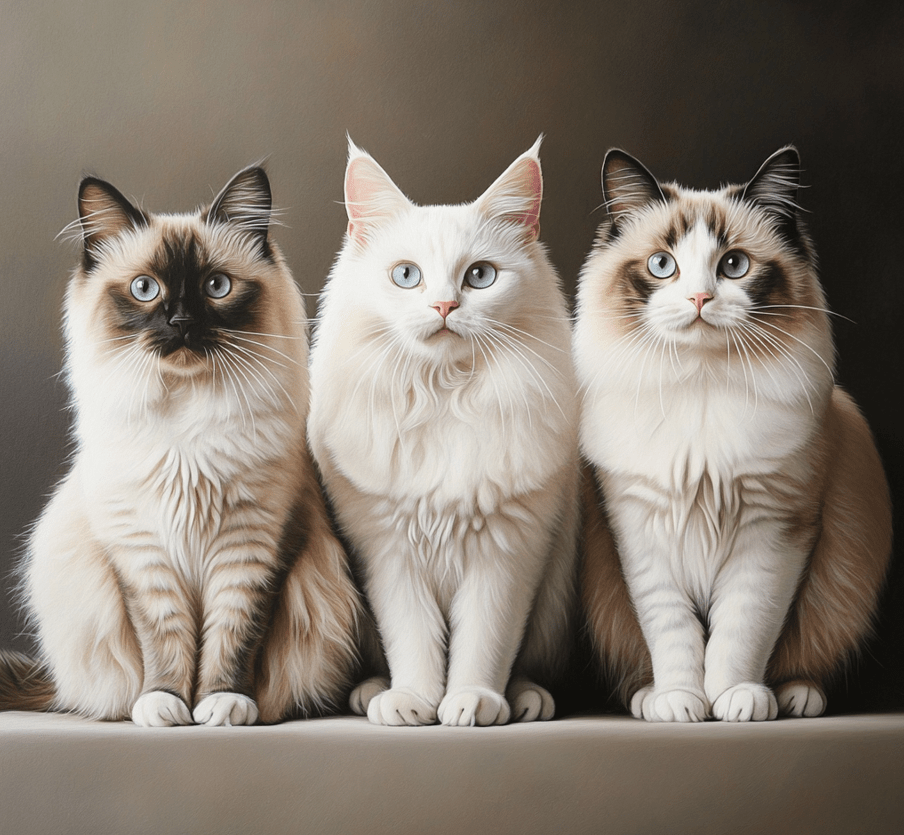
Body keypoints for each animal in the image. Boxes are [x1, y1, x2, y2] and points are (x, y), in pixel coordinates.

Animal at [3, 165, 364, 724]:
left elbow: (231, 638)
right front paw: (166, 705)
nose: (180, 323)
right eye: (145, 289)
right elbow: (164, 641)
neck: (186, 421)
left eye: (216, 287)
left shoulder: (251, 547)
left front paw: (220, 704)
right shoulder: (142, 555)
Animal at [308, 137, 580, 724]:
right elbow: (412, 640)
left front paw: (472, 703)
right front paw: (413, 702)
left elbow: (484, 643)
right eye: (406, 276)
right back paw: (372, 693)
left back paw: (525, 700)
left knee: (524, 667)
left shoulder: (506, 552)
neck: (444, 395)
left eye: (480, 276)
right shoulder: (389, 548)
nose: (444, 306)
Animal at [576, 147, 892, 720]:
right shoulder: (641, 533)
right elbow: (674, 634)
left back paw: (794, 697)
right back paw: (650, 699)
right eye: (662, 265)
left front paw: (733, 699)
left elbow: (740, 631)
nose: (701, 298)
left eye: (734, 266)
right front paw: (682, 703)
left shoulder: (772, 531)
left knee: (801, 658)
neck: (701, 388)